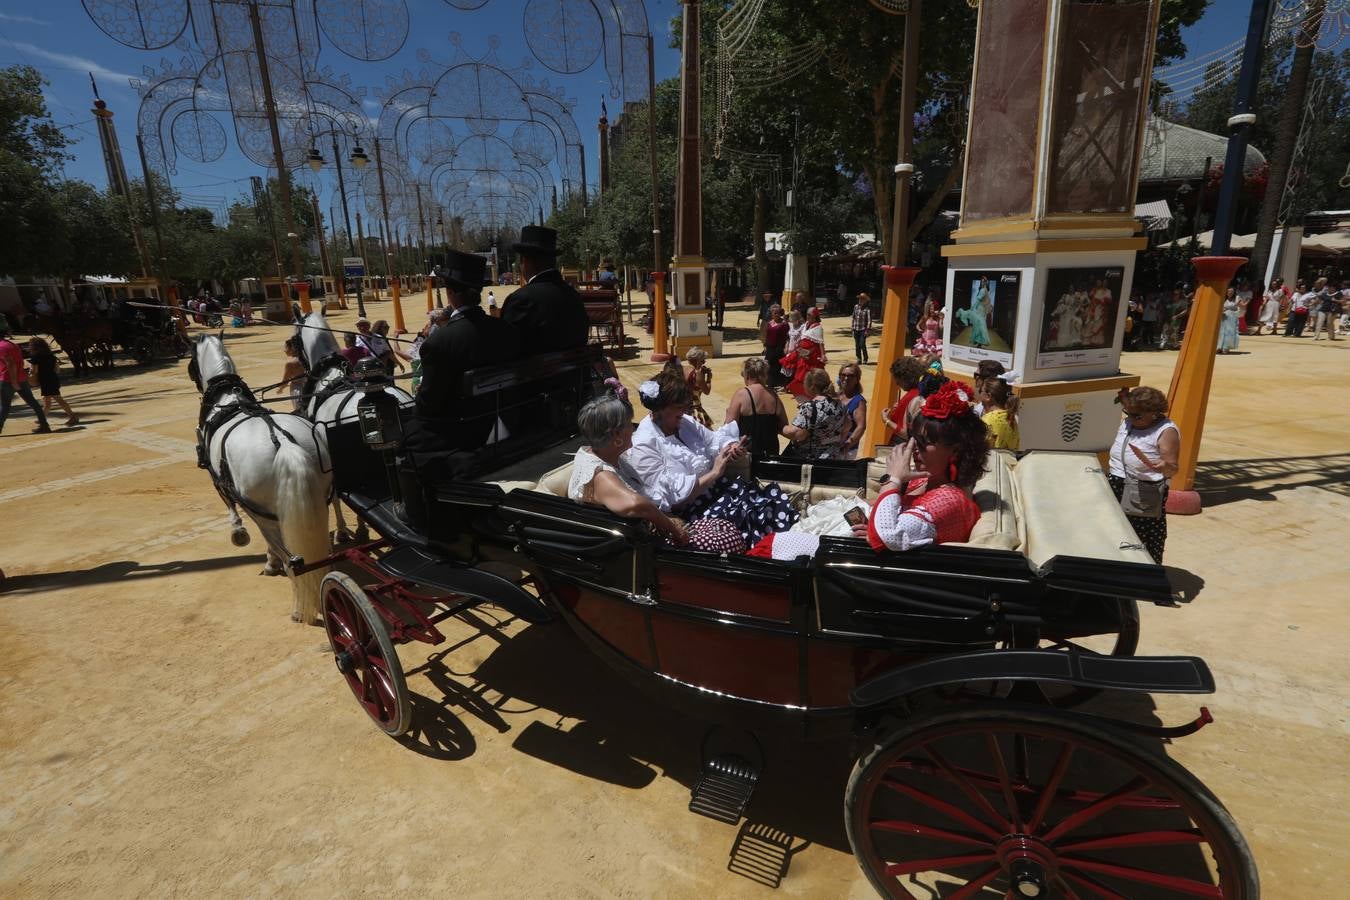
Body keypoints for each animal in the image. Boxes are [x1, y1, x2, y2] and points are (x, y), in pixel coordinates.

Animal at [189, 334, 333, 623]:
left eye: (191, 365)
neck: (227, 401)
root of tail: (284, 443)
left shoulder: (222, 484)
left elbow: (234, 512)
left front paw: (243, 538)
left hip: (264, 512)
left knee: (291, 558)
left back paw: (298, 609)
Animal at [297, 307, 413, 542]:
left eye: (294, 340)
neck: (331, 376)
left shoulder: (332, 464)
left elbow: (337, 496)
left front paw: (344, 530)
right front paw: (361, 526)